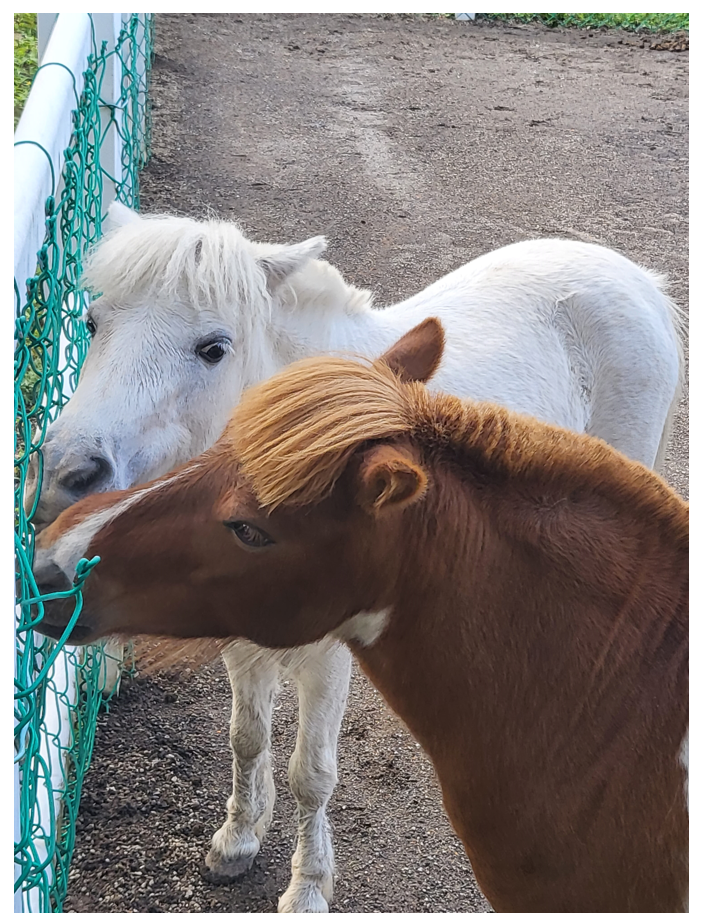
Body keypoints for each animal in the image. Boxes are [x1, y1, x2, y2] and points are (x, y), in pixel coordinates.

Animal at [28, 199, 688, 912]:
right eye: (92, 322)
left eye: (213, 348)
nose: (67, 473)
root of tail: (635, 279)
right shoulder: (237, 630)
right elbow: (246, 738)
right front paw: (238, 838)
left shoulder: (328, 653)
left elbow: (310, 774)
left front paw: (308, 887)